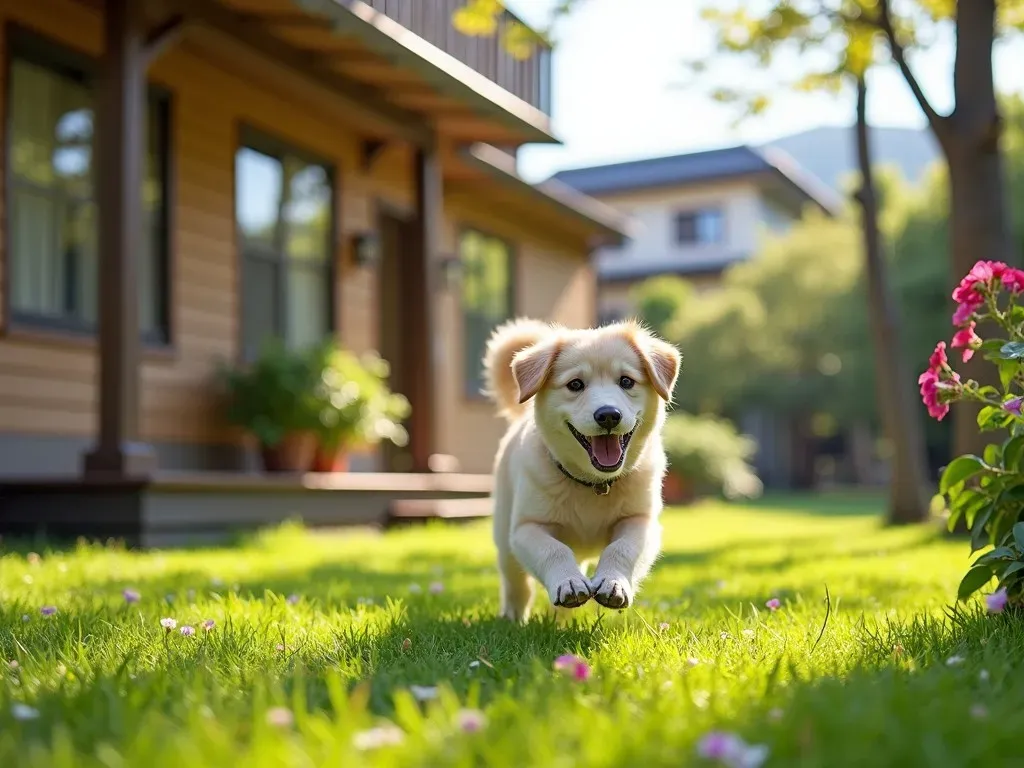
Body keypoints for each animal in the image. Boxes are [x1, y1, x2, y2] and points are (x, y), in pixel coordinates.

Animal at [481, 315, 679, 622]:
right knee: (516, 582)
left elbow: (621, 548)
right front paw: (569, 583)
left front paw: (613, 583)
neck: (594, 483)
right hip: (505, 536)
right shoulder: (528, 527)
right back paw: (514, 617)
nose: (608, 415)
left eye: (626, 381)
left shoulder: (641, 521)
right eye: (575, 384)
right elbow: (554, 550)